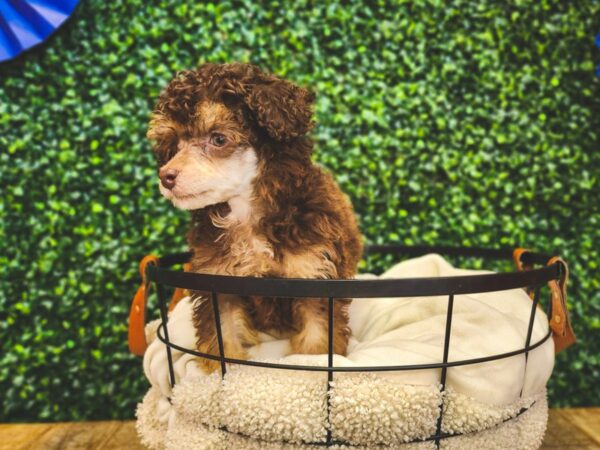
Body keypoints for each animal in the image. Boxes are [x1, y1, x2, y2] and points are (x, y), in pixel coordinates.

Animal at [148, 62, 364, 372]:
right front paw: (218, 374)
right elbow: (222, 337)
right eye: (174, 144)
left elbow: (317, 339)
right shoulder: (217, 281)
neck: (246, 213)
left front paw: (312, 360)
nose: (166, 176)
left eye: (218, 139)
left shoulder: (313, 271)